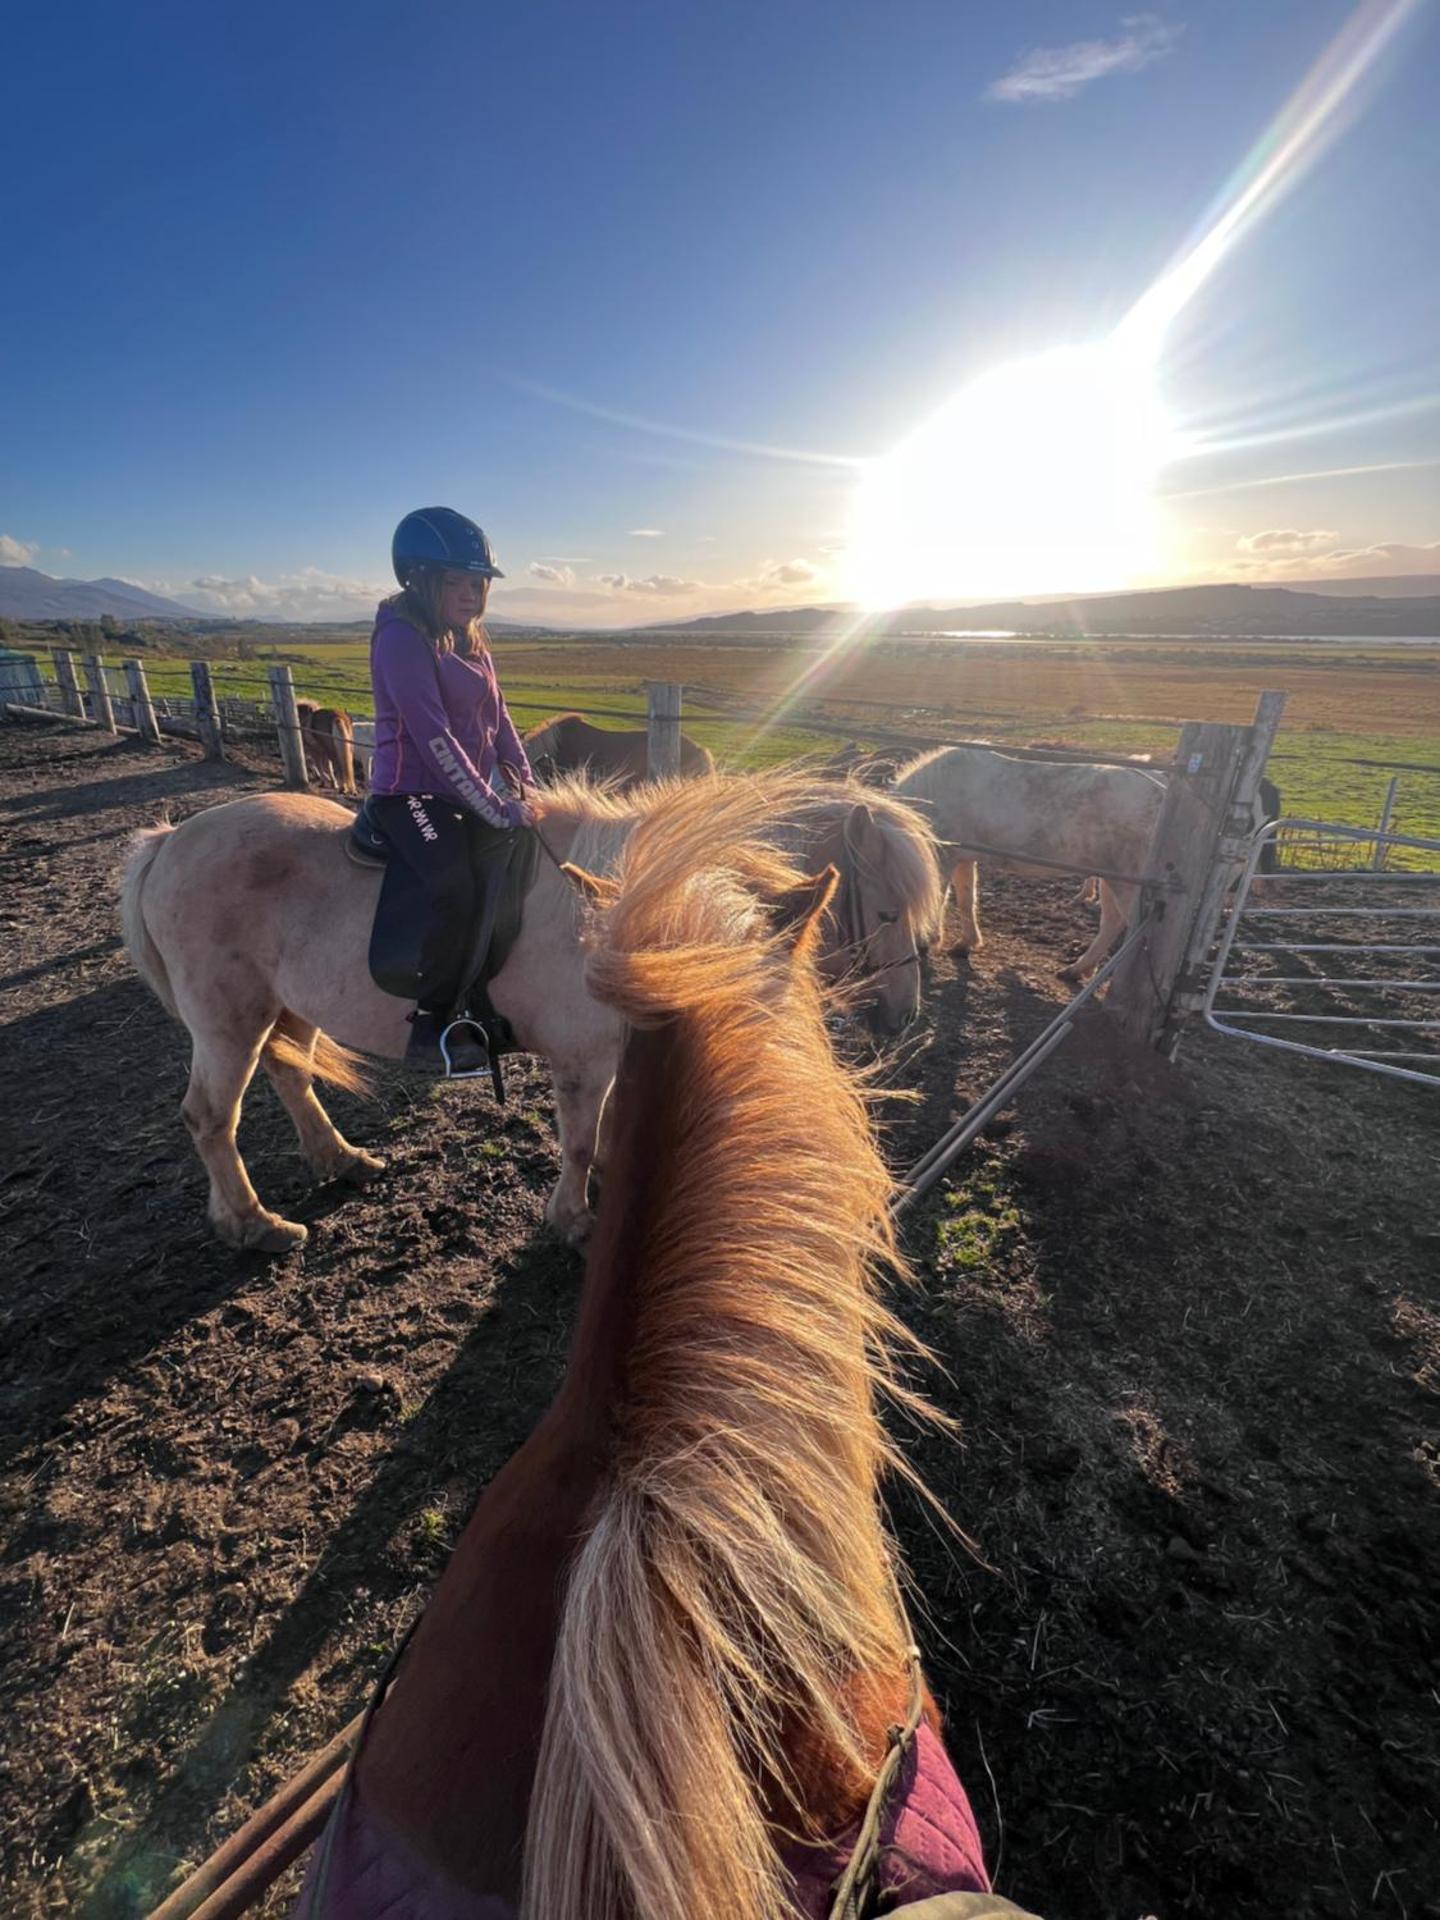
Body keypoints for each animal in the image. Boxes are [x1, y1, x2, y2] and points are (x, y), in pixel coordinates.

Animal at [119, 772, 942, 1252]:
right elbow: (576, 1139)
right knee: (209, 1116)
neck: (629, 922)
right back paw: (251, 1224)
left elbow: (604, 1129)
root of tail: (168, 840)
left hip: (286, 1005)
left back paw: (339, 1160)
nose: (904, 1017)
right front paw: (573, 1220)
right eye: (889, 912)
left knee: (292, 1078)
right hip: (228, 1019)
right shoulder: (581, 1059)